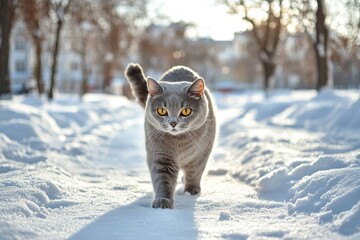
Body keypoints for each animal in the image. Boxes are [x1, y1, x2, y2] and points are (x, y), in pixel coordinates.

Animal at [126, 63, 217, 208]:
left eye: (186, 111)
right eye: (162, 111)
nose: (173, 123)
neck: (179, 143)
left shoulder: (201, 154)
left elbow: (194, 172)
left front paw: (191, 190)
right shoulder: (161, 155)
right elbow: (163, 180)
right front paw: (163, 201)